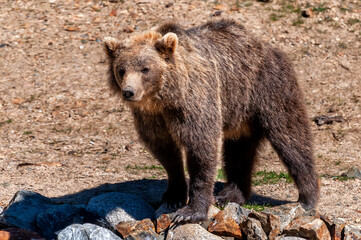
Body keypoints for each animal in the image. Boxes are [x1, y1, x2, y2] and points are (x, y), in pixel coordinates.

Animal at [103, 19, 318, 223]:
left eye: (145, 69)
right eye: (121, 69)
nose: (129, 92)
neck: (165, 99)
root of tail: (269, 47)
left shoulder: (195, 100)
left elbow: (201, 148)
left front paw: (190, 212)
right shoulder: (151, 117)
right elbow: (164, 150)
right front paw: (173, 196)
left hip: (267, 90)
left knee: (291, 138)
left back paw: (306, 198)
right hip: (240, 114)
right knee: (238, 152)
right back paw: (229, 194)